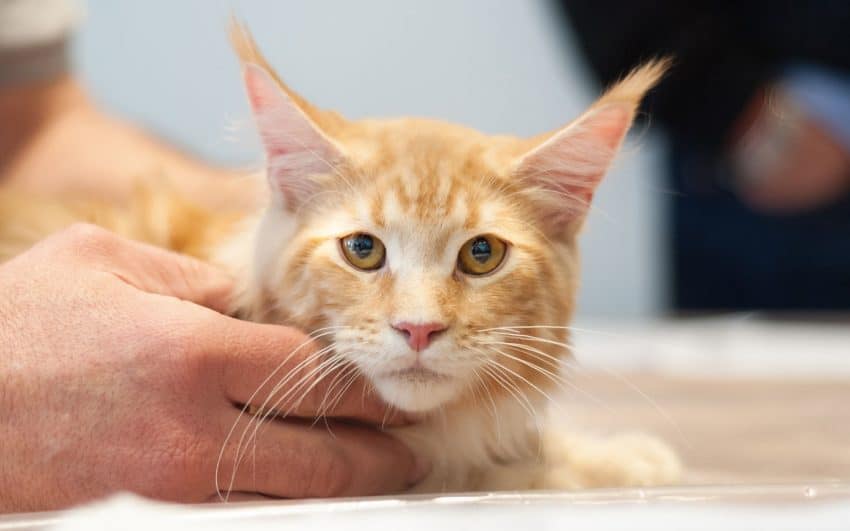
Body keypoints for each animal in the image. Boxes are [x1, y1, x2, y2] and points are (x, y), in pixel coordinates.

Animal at [0, 20, 676, 494]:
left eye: (482, 254)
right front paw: (578, 461)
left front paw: (600, 454)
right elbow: (489, 469)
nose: (419, 329)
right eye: (363, 250)